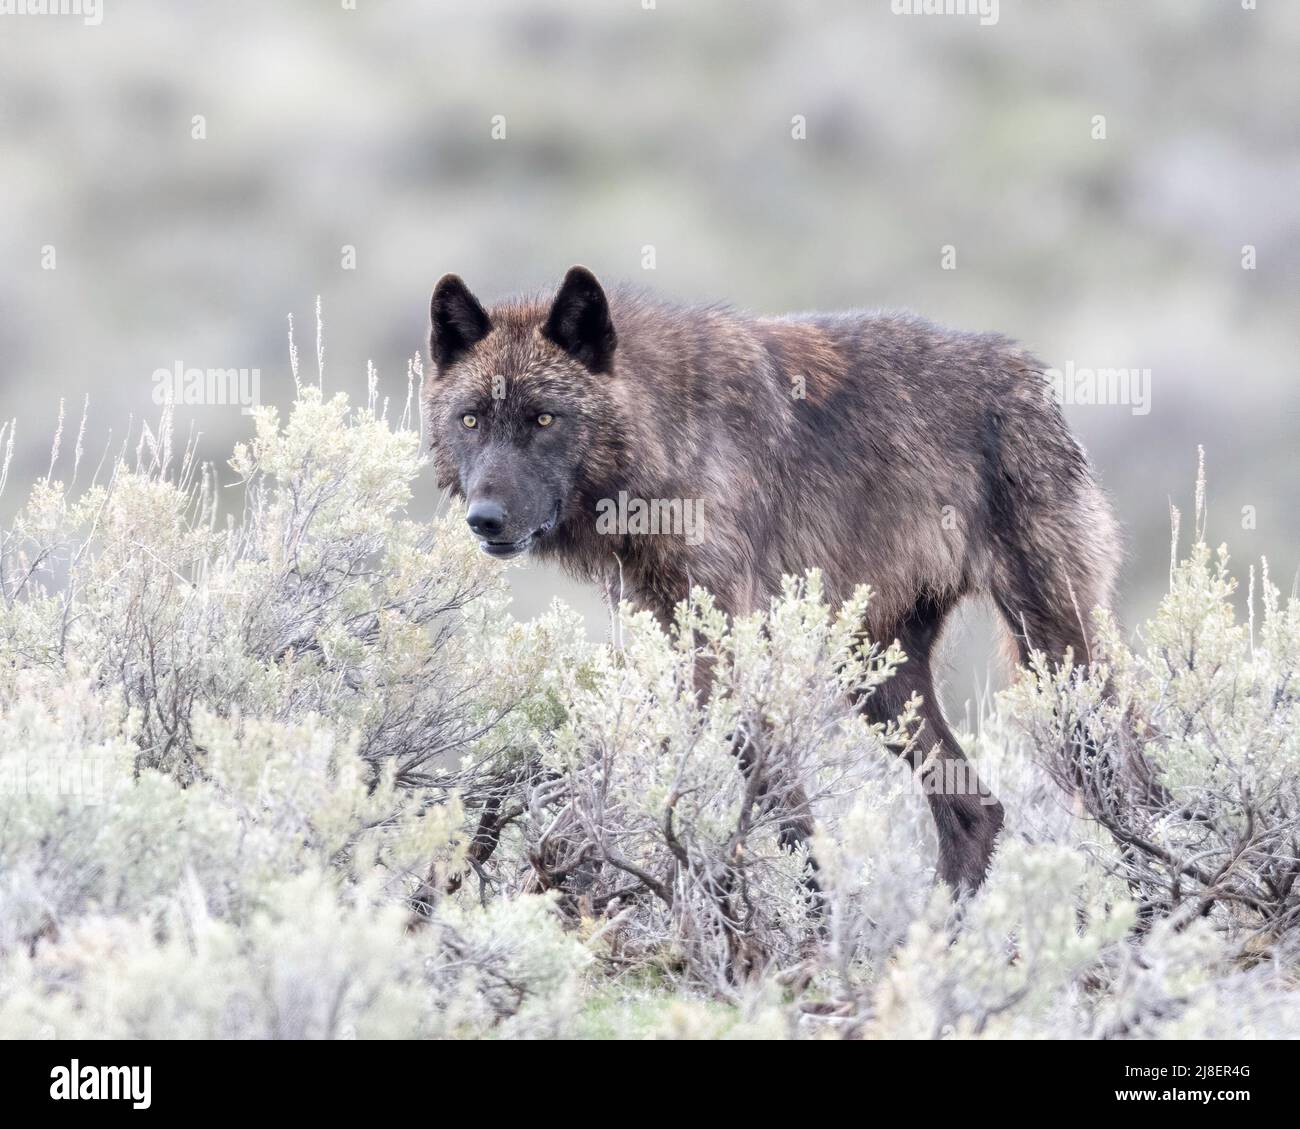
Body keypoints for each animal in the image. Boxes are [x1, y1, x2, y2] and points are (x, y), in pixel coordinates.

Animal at [421, 266, 1123, 889]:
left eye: (544, 419)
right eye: (471, 420)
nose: (484, 519)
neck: (666, 436)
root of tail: (1026, 373)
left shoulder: (727, 651)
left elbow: (788, 819)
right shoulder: (679, 642)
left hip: (1057, 665)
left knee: (1123, 787)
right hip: (881, 677)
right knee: (976, 811)